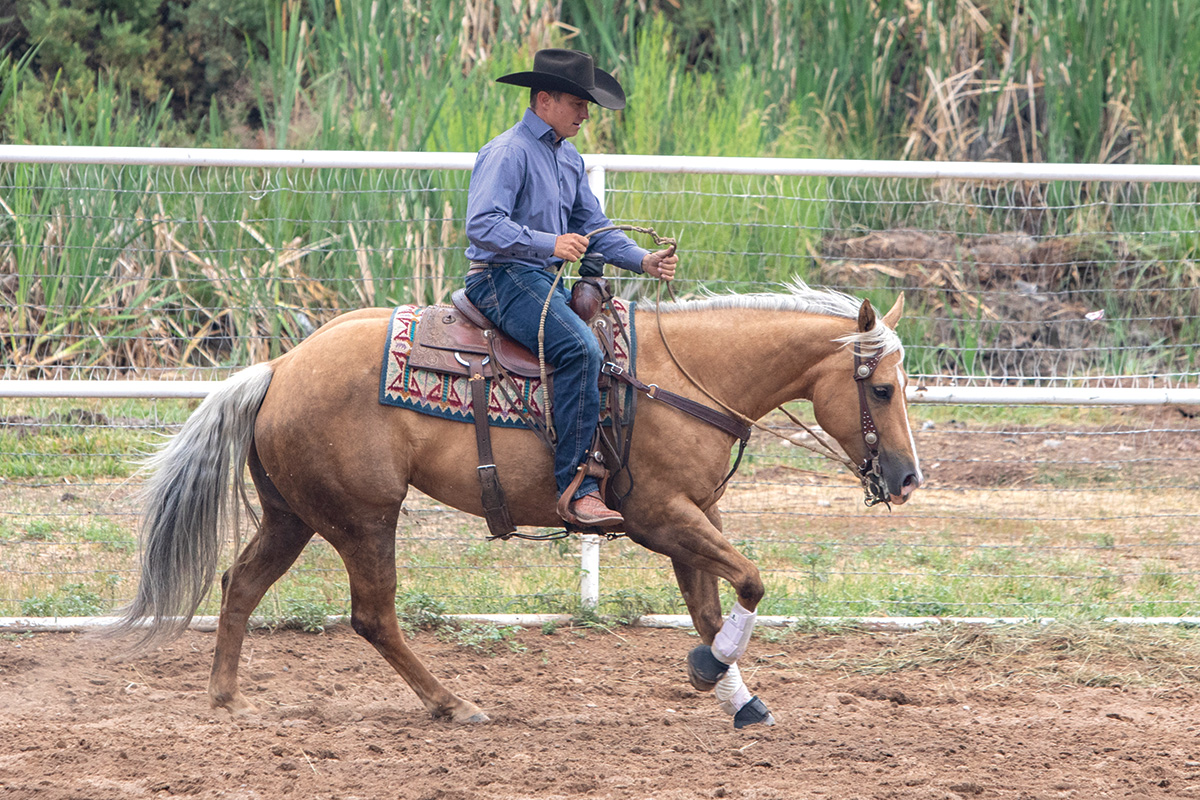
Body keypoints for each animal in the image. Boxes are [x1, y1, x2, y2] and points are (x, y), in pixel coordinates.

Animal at [114, 281, 916, 734]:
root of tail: (279, 368)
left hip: (295, 516)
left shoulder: (696, 518)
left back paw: (225, 699)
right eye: (882, 389)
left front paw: (736, 697)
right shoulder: (662, 517)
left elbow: (712, 606)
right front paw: (708, 671)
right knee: (372, 615)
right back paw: (453, 705)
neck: (681, 377)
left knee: (240, 584)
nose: (907, 479)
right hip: (362, 518)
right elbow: (748, 582)